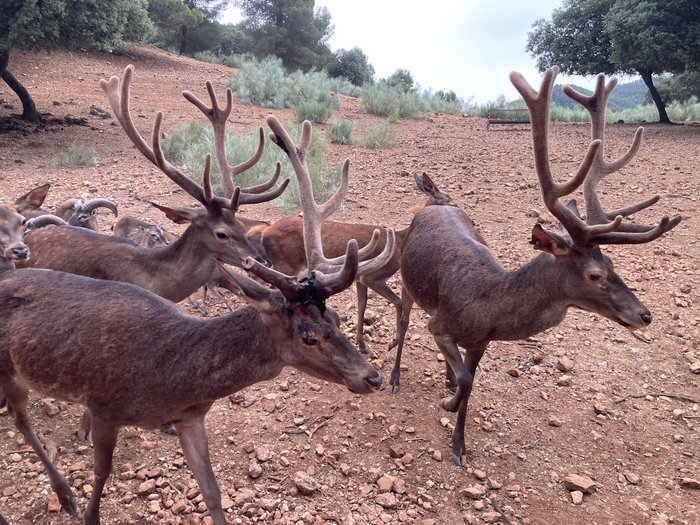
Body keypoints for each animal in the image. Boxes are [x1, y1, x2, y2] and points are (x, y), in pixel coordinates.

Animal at [0, 103, 394, 524]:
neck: (173, 379)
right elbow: (101, 475)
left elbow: (212, 493)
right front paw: (85, 504)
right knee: (22, 421)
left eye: (335, 319)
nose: (372, 377)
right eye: (308, 335)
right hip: (9, 369)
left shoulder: (191, 418)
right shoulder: (105, 406)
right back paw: (64, 494)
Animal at [247, 174, 460, 354]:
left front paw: (363, 345)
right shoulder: (372, 276)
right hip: (285, 264)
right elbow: (398, 303)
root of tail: (264, 231)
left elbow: (362, 306)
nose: (460, 210)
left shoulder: (359, 279)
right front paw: (392, 343)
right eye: (449, 199)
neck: (400, 243)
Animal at [386, 66, 680, 466]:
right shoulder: (442, 325)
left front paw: (459, 443)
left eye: (613, 261)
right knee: (402, 322)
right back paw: (394, 378)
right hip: (406, 278)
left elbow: (470, 381)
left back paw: (444, 378)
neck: (487, 307)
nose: (645, 315)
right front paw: (448, 406)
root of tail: (434, 202)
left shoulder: (480, 341)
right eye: (595, 275)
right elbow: (465, 378)